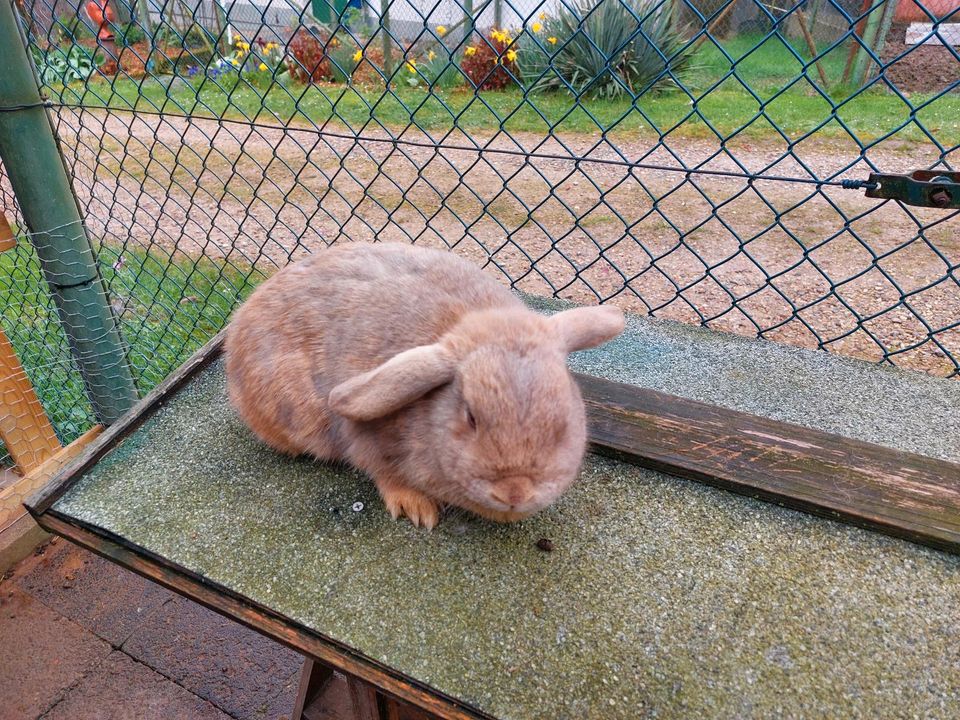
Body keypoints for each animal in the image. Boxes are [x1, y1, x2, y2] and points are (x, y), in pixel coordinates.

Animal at [228, 242, 628, 528]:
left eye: (563, 424)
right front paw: (416, 508)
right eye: (470, 417)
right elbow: (382, 472)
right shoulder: (366, 439)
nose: (514, 492)